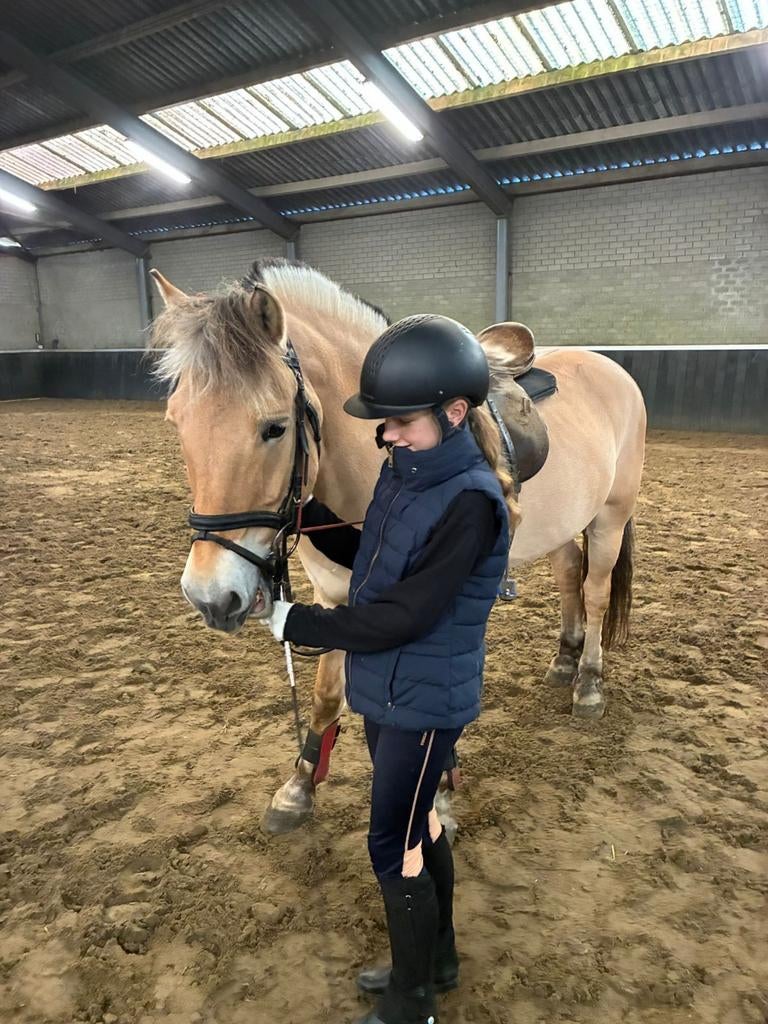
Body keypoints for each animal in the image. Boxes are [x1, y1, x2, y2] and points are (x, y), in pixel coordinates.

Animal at [148, 258, 646, 835]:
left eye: (274, 427)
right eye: (176, 421)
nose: (210, 596)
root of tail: (610, 367)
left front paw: (438, 799)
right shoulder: (335, 598)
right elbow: (325, 695)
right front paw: (298, 788)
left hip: (610, 518)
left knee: (595, 592)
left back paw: (588, 683)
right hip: (567, 524)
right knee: (570, 577)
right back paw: (564, 660)